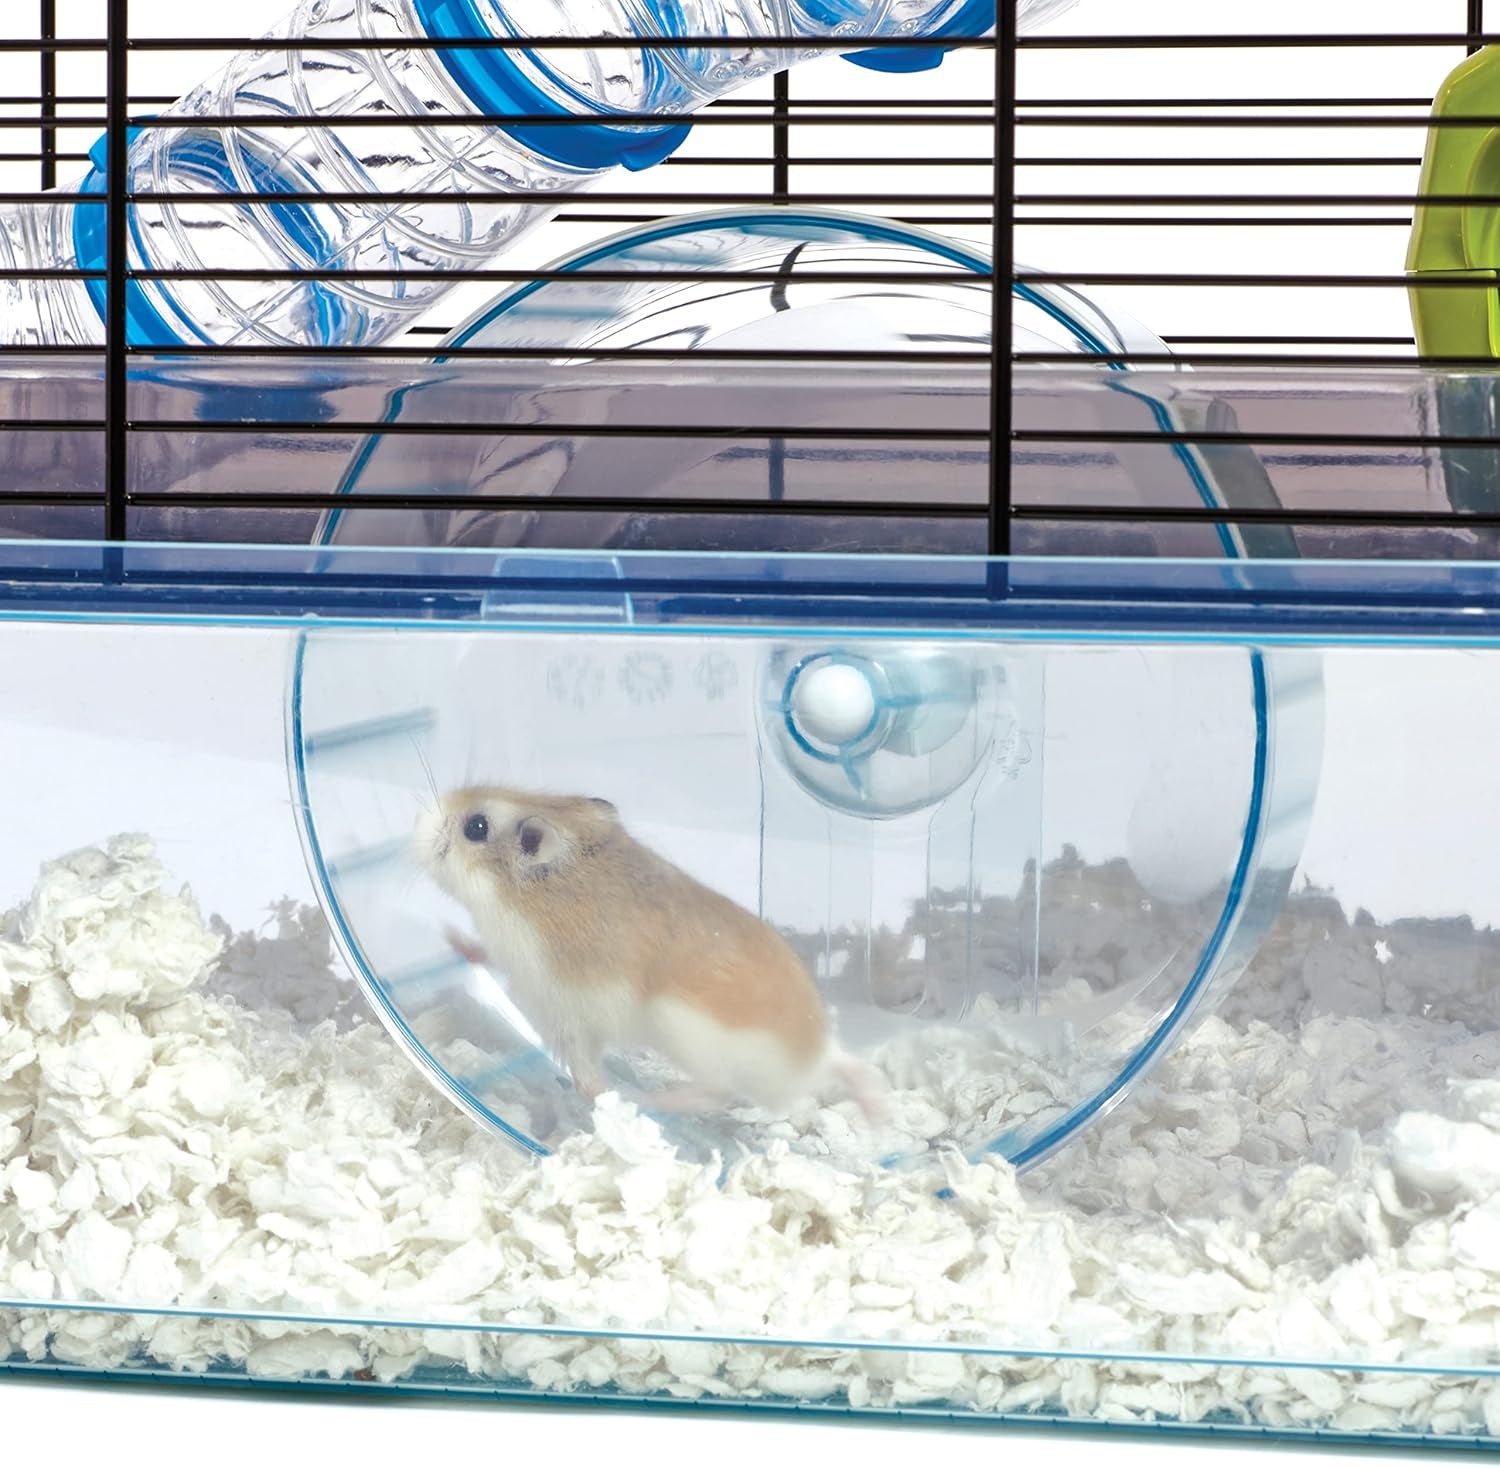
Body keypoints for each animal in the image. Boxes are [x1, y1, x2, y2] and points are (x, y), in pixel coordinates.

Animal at [414, 784, 884, 1123]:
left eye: (476, 827)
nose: (418, 819)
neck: (535, 891)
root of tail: (810, 1061)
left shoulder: (562, 1011)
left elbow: (586, 1072)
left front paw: (600, 1096)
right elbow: (481, 952)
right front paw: (451, 936)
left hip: (684, 1033)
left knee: (715, 1093)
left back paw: (651, 1100)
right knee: (850, 1066)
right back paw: (878, 1115)